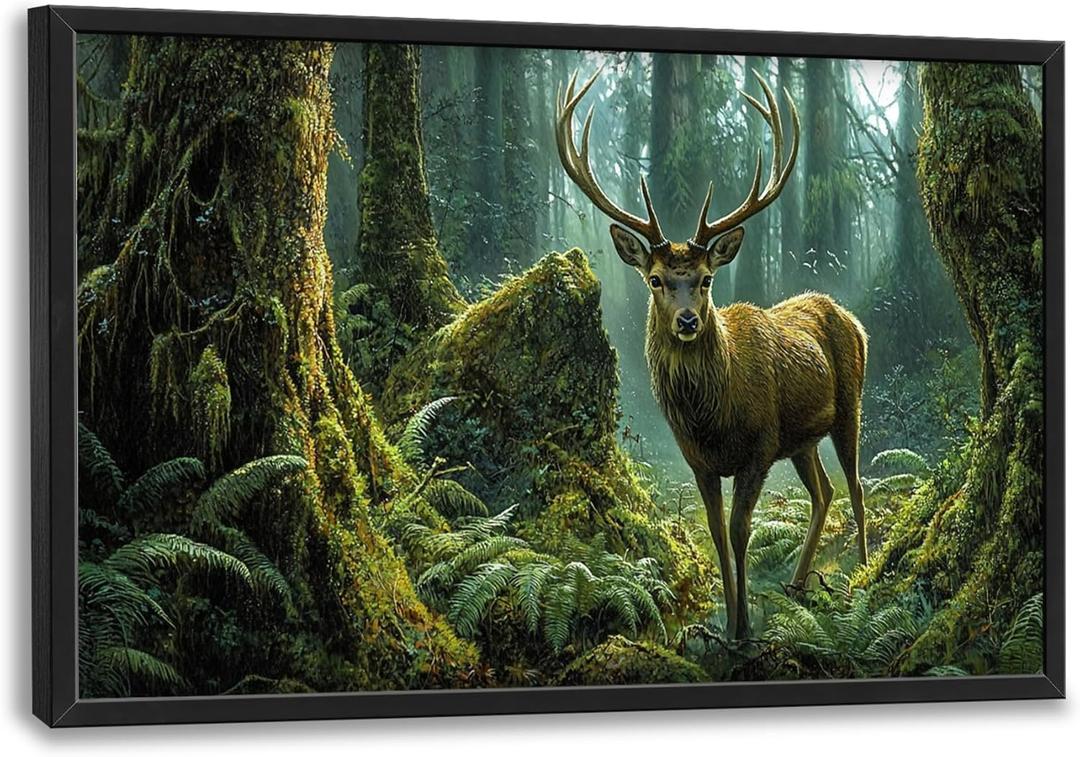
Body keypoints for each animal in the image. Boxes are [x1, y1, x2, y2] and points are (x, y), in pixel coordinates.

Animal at [556, 70, 868, 639]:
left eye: (705, 279)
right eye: (656, 279)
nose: (687, 321)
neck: (710, 417)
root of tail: (850, 318)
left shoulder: (759, 447)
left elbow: (741, 530)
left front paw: (742, 629)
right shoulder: (699, 461)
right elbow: (717, 533)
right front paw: (727, 621)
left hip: (849, 405)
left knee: (854, 486)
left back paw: (861, 572)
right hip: (801, 438)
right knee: (823, 492)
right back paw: (796, 584)